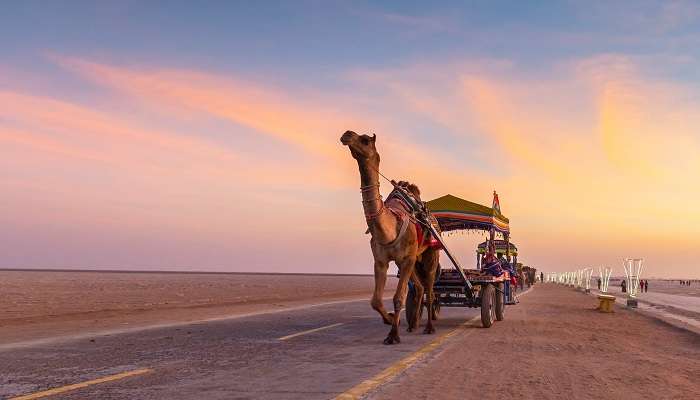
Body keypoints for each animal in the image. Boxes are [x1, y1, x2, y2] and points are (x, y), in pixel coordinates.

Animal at [340, 130, 438, 344]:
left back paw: (429, 327)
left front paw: (393, 335)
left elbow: (398, 297)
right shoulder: (381, 260)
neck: (390, 228)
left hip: (430, 254)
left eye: (365, 140)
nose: (346, 134)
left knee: (429, 289)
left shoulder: (407, 258)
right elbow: (375, 300)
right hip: (412, 260)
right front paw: (391, 320)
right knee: (419, 288)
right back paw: (413, 324)